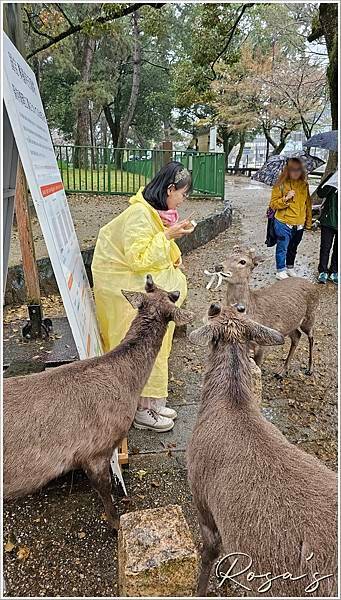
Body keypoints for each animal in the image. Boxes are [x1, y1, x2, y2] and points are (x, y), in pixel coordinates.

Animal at [3, 274, 193, 528]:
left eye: (160, 290)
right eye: (172, 296)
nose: (176, 291)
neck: (129, 385)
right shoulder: (95, 449)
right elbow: (106, 490)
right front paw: (116, 522)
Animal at [187, 304, 336, 596]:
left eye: (214, 309)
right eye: (234, 308)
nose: (216, 306)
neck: (232, 403)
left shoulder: (202, 499)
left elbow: (209, 554)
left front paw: (205, 586)